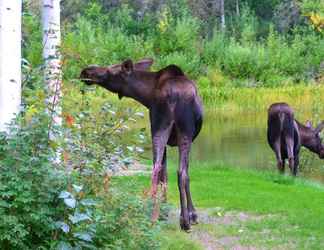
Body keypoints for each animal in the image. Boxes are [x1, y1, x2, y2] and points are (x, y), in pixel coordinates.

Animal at [80, 58, 202, 230]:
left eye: (110, 71)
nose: (85, 71)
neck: (147, 96)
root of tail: (173, 95)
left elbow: (166, 174)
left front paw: (168, 211)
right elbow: (178, 174)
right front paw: (188, 214)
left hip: (163, 128)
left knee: (160, 169)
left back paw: (155, 215)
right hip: (178, 130)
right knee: (176, 171)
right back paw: (175, 219)